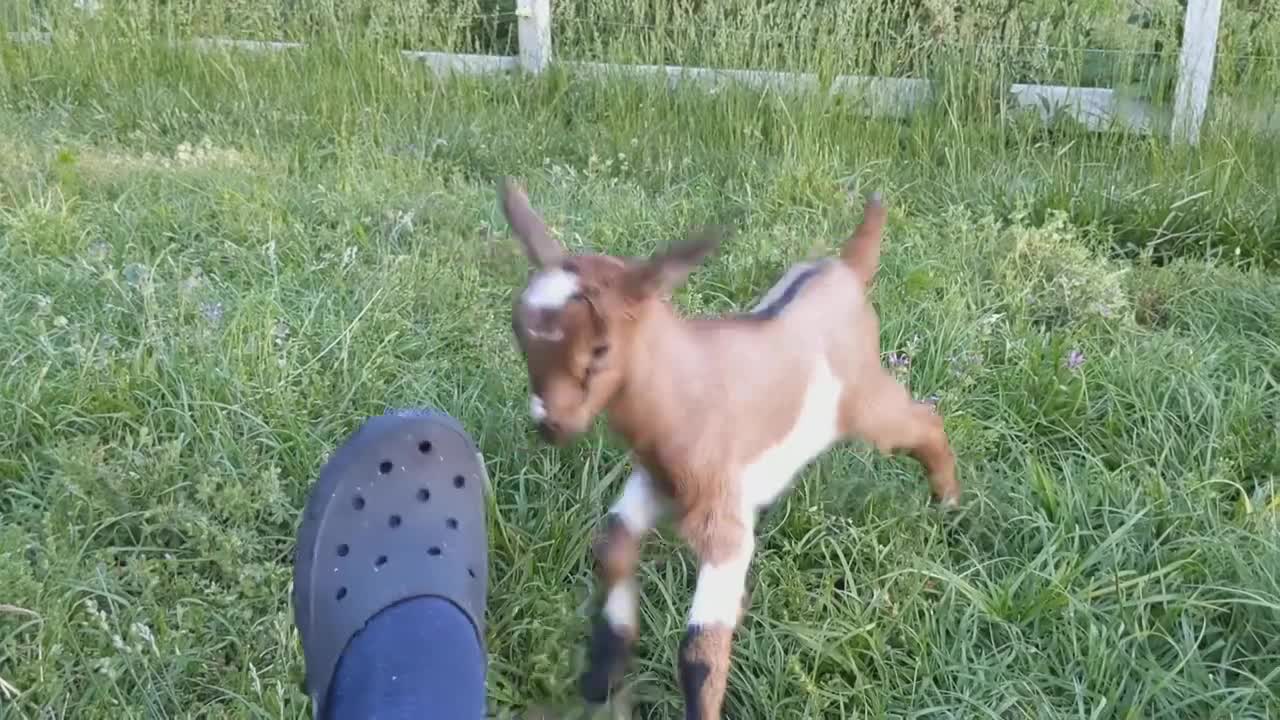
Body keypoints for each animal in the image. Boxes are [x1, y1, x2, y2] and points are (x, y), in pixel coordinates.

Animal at [499, 176, 962, 712]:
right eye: (520, 336)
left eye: (599, 350)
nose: (551, 425)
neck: (684, 387)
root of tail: (845, 268)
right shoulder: (655, 482)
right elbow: (610, 546)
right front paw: (602, 674)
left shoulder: (724, 519)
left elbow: (700, 648)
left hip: (864, 400)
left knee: (924, 420)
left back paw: (949, 503)